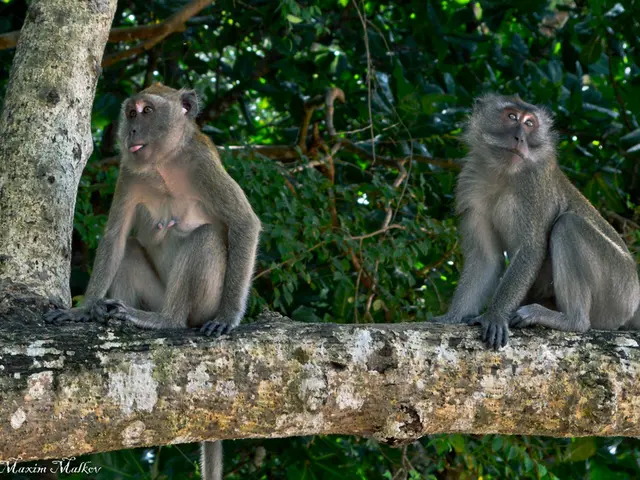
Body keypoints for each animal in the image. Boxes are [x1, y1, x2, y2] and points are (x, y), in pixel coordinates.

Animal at [44, 83, 261, 479]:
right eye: (131, 113)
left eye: (147, 111)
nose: (131, 130)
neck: (165, 163)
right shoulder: (130, 173)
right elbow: (116, 238)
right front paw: (82, 311)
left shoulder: (202, 163)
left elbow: (244, 223)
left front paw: (229, 318)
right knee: (130, 249)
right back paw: (114, 315)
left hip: (203, 301)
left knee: (205, 237)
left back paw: (165, 321)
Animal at [432, 93, 640, 350]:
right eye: (512, 116)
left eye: (530, 123)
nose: (520, 137)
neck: (503, 174)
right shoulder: (471, 188)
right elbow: (485, 259)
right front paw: (452, 317)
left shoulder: (534, 187)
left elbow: (531, 249)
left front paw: (495, 315)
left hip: (619, 293)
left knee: (569, 225)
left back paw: (571, 320)